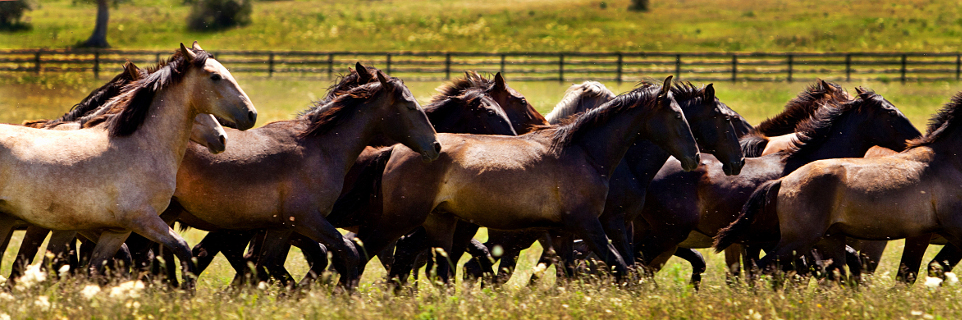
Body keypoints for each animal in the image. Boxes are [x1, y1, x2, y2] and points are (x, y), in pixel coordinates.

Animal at [0, 41, 256, 288]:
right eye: (215, 77)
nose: (250, 115)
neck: (140, 146)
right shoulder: (141, 219)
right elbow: (182, 250)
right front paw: (186, 293)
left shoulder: (115, 230)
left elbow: (95, 268)